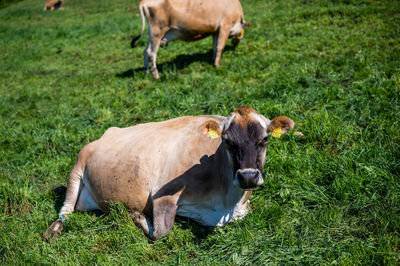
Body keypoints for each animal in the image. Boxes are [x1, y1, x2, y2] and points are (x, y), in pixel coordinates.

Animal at [43, 106, 294, 241]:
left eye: (265, 139)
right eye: (227, 141)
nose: (248, 176)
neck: (226, 202)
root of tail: (107, 132)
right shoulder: (162, 194)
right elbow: (161, 232)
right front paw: (138, 217)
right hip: (77, 167)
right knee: (66, 210)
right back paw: (53, 230)